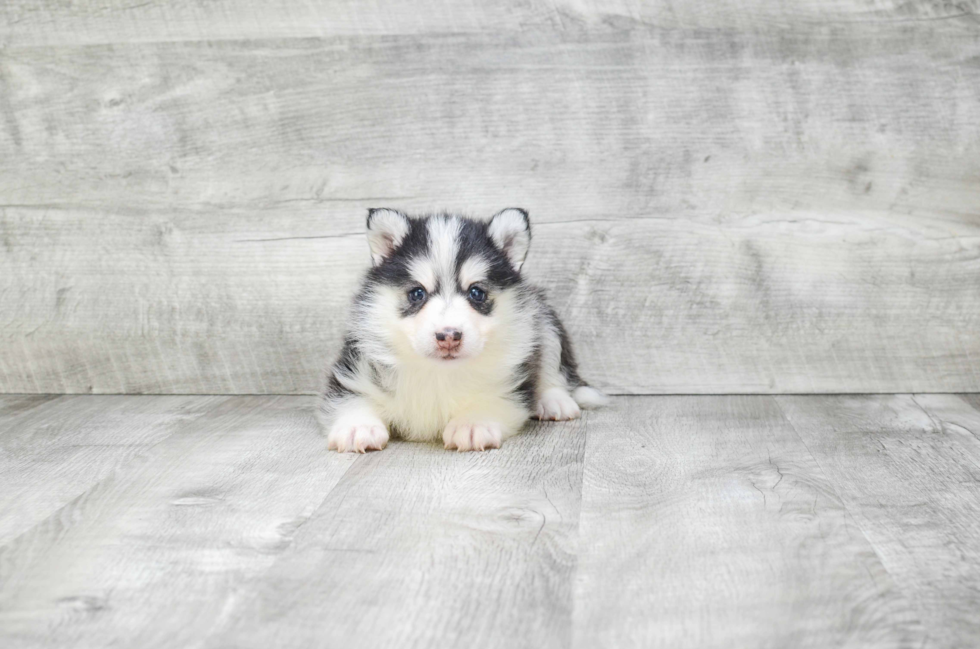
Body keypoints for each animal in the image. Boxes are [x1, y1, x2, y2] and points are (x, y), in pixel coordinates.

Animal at [318, 208, 604, 450]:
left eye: (476, 292)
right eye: (417, 293)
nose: (448, 337)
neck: (438, 373)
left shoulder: (513, 379)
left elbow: (496, 396)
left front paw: (473, 423)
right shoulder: (355, 366)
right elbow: (352, 396)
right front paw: (358, 426)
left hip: (543, 319)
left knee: (555, 368)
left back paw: (554, 400)